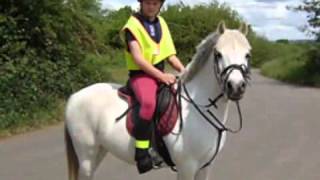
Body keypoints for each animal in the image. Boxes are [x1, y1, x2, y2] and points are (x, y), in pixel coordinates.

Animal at [65, 21, 252, 180]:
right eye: (218, 54)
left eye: (247, 54)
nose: (236, 87)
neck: (198, 108)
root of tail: (74, 97)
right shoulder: (187, 167)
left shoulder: (204, 167)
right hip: (86, 156)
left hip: (99, 151)